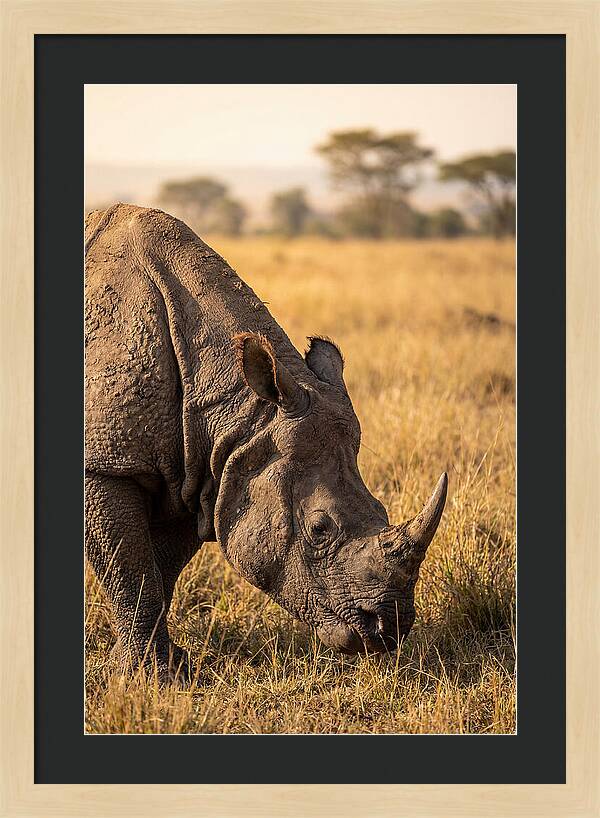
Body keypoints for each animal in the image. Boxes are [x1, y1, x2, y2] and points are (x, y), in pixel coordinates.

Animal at [85, 203, 447, 680]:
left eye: (383, 509)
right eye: (319, 529)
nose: (389, 630)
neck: (240, 414)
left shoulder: (199, 471)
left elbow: (158, 572)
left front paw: (158, 669)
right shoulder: (107, 464)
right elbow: (132, 574)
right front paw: (151, 678)